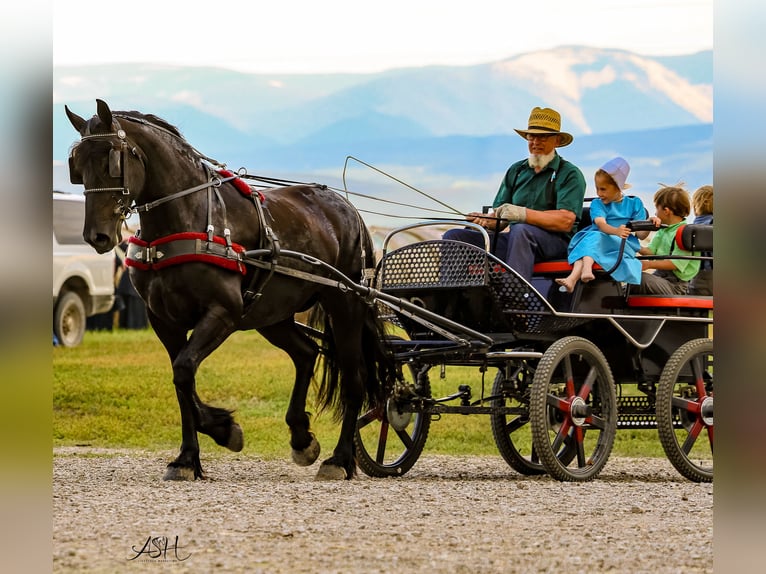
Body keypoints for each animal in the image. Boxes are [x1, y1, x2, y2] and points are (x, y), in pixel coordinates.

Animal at [65, 99, 393, 481]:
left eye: (112, 159)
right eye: (77, 164)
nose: (98, 236)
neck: (187, 218)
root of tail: (346, 208)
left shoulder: (223, 312)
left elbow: (184, 369)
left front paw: (222, 430)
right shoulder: (163, 320)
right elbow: (182, 379)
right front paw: (191, 454)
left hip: (345, 302)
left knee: (355, 376)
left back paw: (340, 460)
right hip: (272, 313)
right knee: (305, 353)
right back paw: (301, 437)